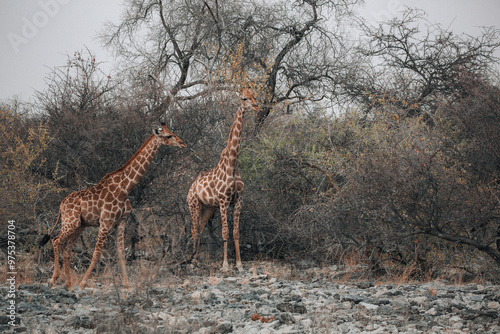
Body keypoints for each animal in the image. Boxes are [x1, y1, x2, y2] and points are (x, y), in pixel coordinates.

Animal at [40, 120, 187, 290]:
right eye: (169, 135)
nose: (183, 144)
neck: (125, 188)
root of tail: (61, 205)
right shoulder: (106, 221)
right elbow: (97, 253)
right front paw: (83, 283)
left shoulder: (121, 221)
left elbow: (121, 253)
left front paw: (127, 284)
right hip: (71, 222)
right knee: (56, 241)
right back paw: (54, 279)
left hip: (80, 225)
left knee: (67, 248)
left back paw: (68, 283)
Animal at [187, 88, 258, 272]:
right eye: (244, 98)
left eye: (254, 96)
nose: (256, 106)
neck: (233, 164)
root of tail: (190, 188)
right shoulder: (224, 201)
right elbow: (225, 232)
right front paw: (225, 265)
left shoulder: (238, 200)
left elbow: (236, 233)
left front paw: (239, 264)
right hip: (194, 204)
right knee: (194, 229)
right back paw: (192, 261)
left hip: (207, 207)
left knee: (200, 227)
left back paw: (196, 259)